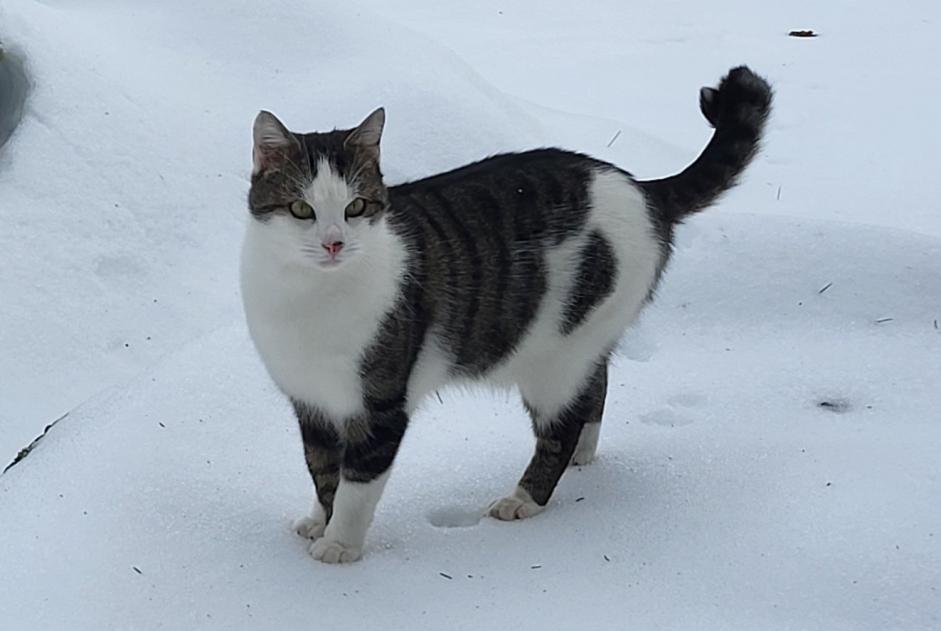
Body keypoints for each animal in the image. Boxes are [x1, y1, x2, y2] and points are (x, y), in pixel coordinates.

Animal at [241, 66, 772, 564]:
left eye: (356, 206)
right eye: (300, 209)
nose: (333, 243)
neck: (310, 299)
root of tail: (642, 188)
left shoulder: (380, 404)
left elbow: (357, 483)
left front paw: (340, 545)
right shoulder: (310, 399)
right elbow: (322, 469)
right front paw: (319, 520)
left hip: (558, 354)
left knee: (561, 424)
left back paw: (526, 497)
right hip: (582, 339)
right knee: (595, 386)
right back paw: (583, 454)